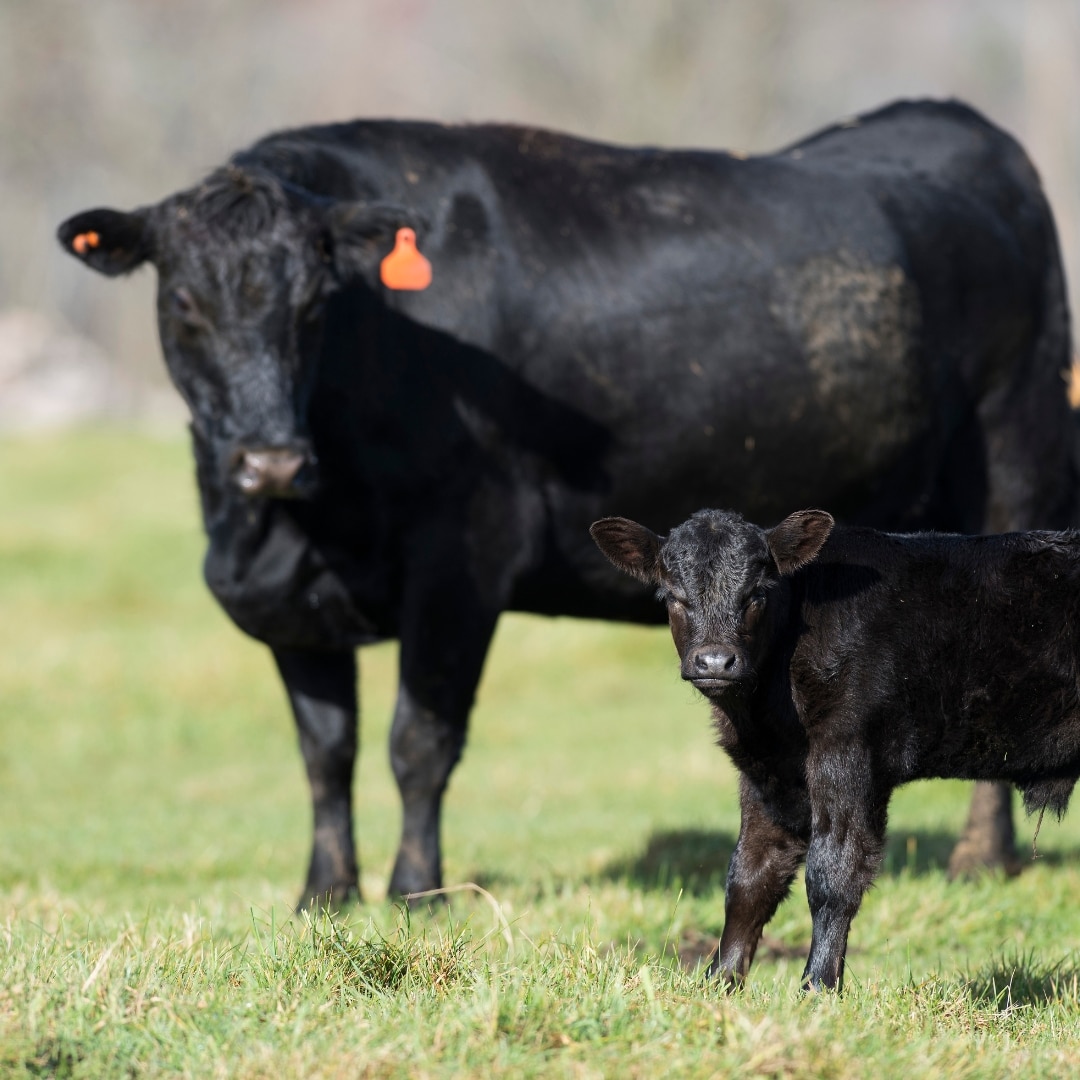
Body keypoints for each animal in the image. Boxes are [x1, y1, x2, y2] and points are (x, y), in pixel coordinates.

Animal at [56, 99, 1075, 909]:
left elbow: (418, 741)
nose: (270, 459)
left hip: (1016, 461)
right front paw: (325, 894)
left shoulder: (463, 556)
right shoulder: (292, 602)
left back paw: (982, 859)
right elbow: (325, 752)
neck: (286, 528)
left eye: (313, 306)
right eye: (184, 305)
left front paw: (416, 891)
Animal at [591, 508, 1080, 991]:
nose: (715, 661)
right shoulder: (769, 774)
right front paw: (720, 982)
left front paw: (818, 985)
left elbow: (833, 873)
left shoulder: (847, 752)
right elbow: (750, 877)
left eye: (758, 593)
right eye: (672, 595)